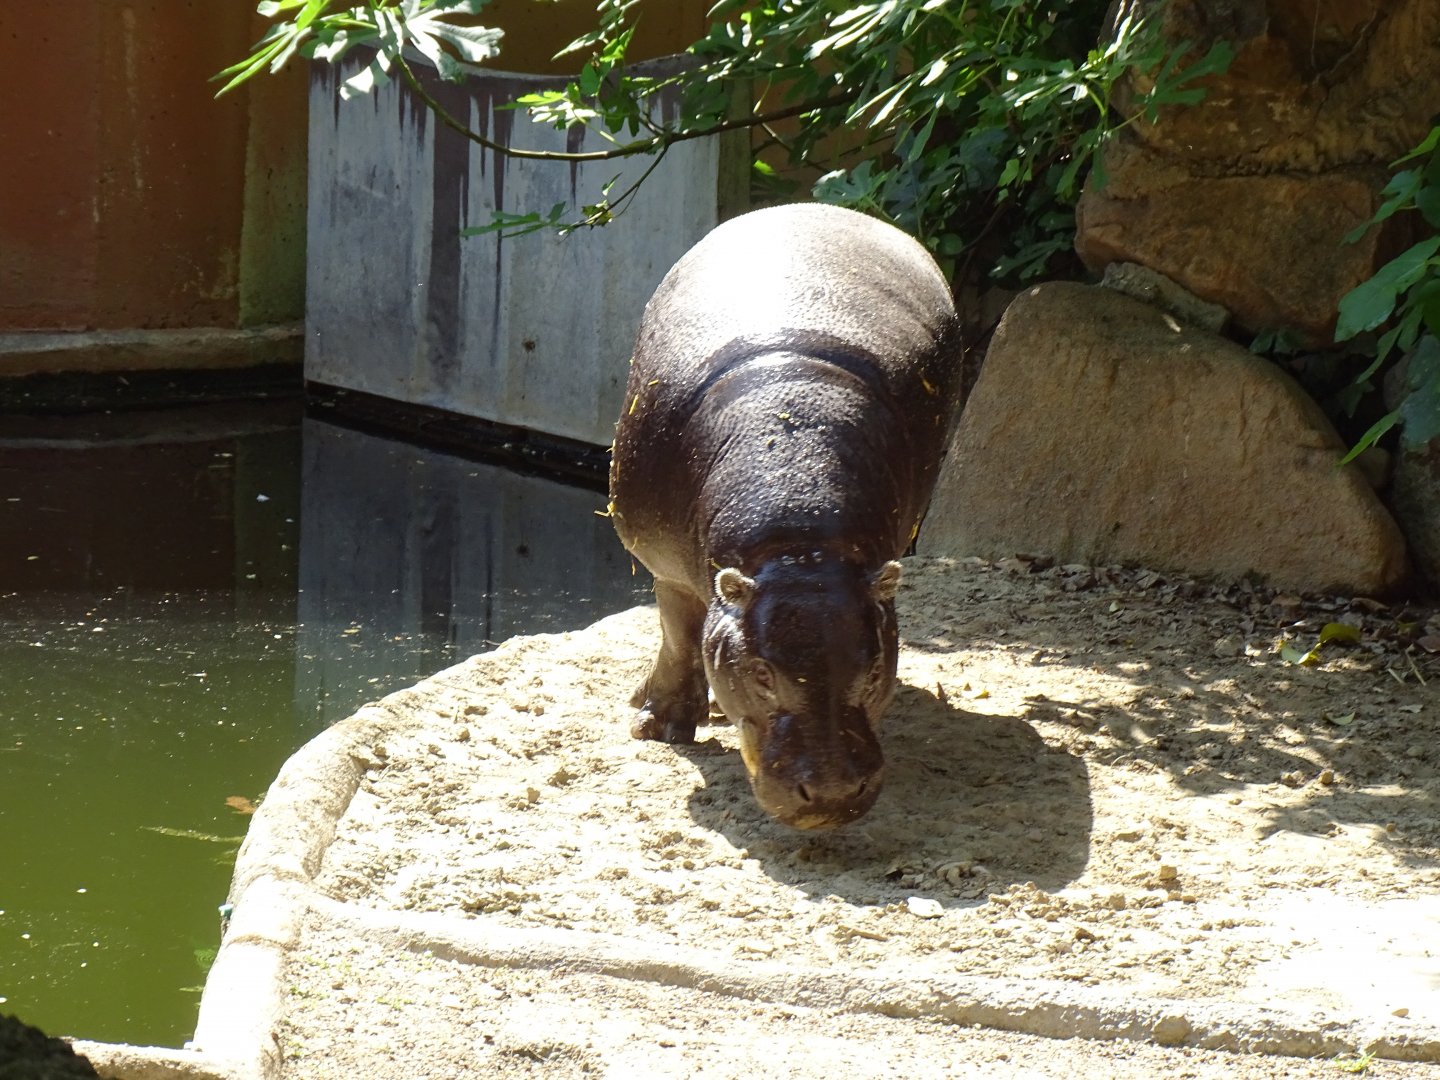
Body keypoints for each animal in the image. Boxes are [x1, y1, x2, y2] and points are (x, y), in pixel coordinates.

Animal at [608, 202, 963, 829]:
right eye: (760, 673)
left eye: (875, 668)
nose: (832, 793)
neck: (797, 541)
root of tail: (827, 207)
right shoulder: (667, 566)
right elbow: (678, 632)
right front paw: (659, 727)